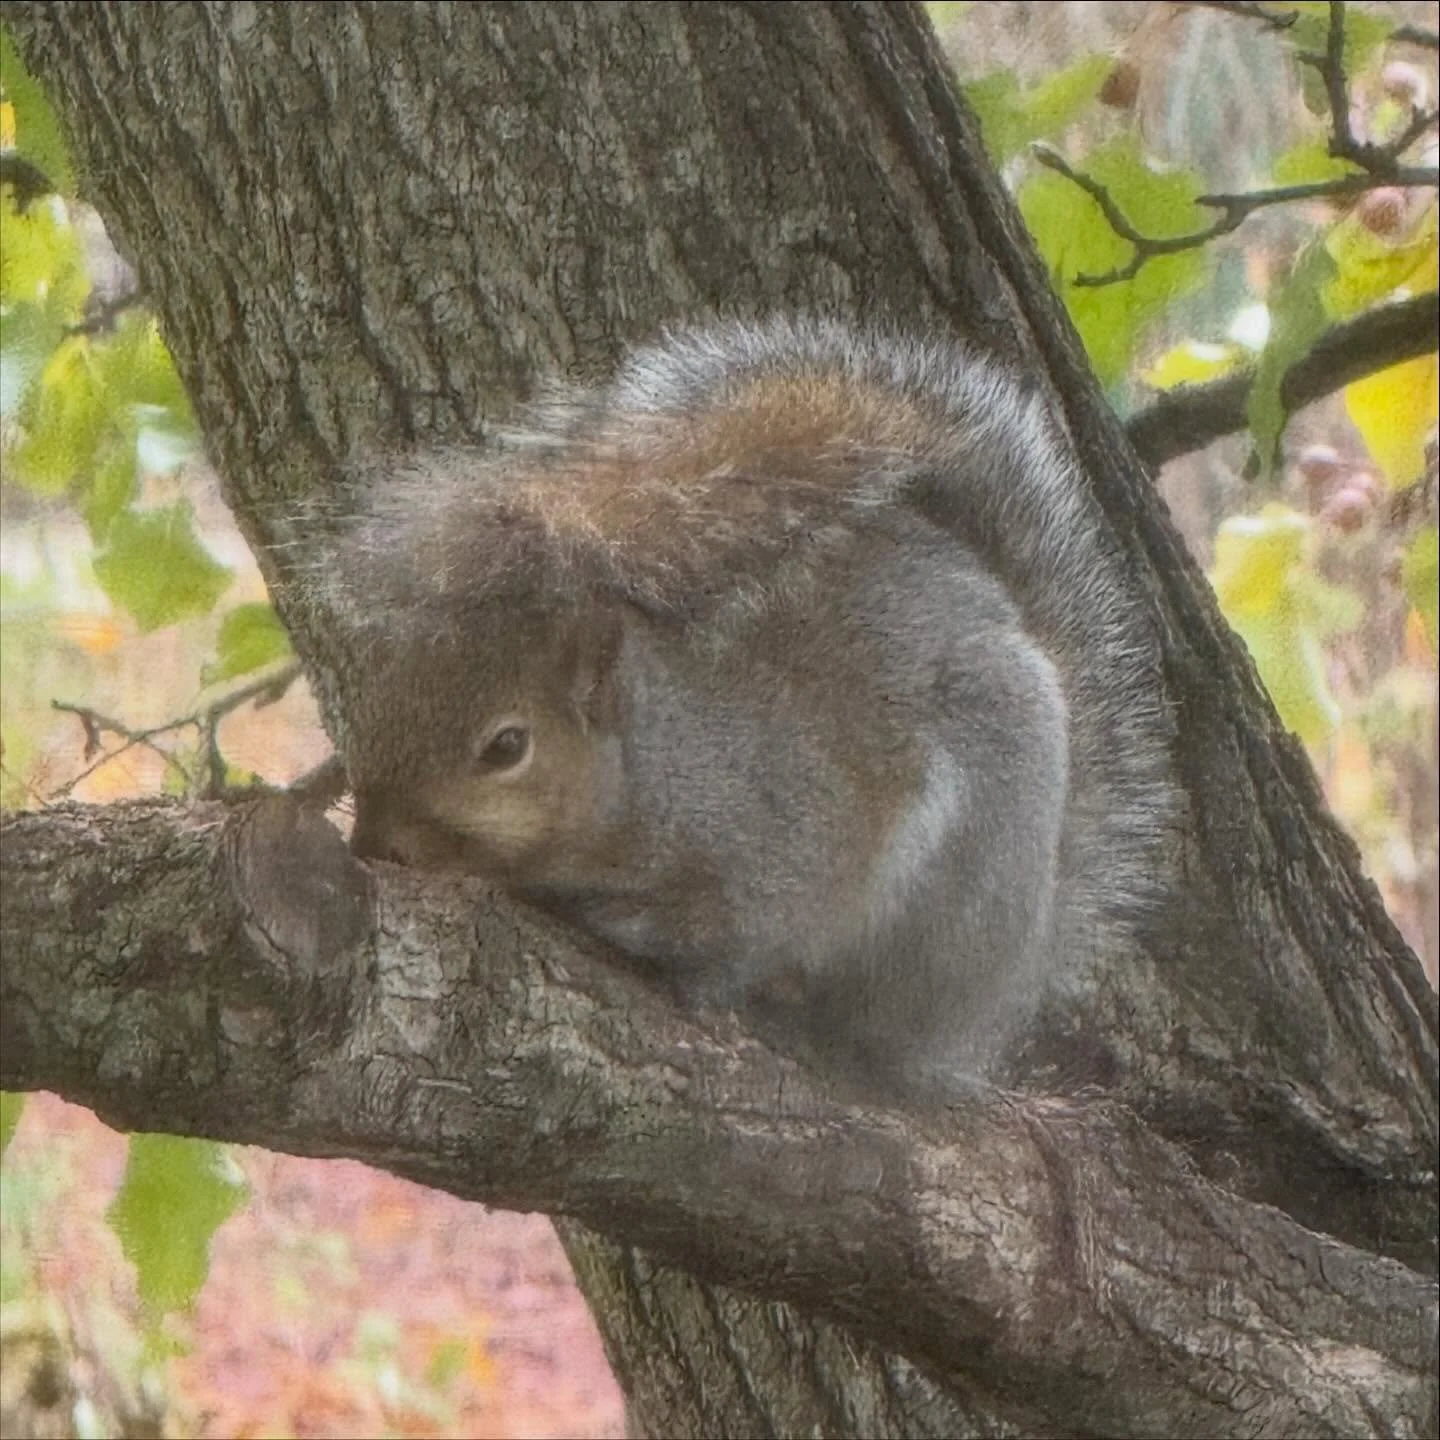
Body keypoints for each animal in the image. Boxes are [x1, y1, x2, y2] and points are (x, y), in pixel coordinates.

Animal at [332, 318, 1173, 1099]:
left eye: (507, 747)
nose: (374, 841)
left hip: (955, 891)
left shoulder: (779, 834)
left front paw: (671, 951)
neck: (654, 769)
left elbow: (749, 928)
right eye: (377, 693)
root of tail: (1012, 977)